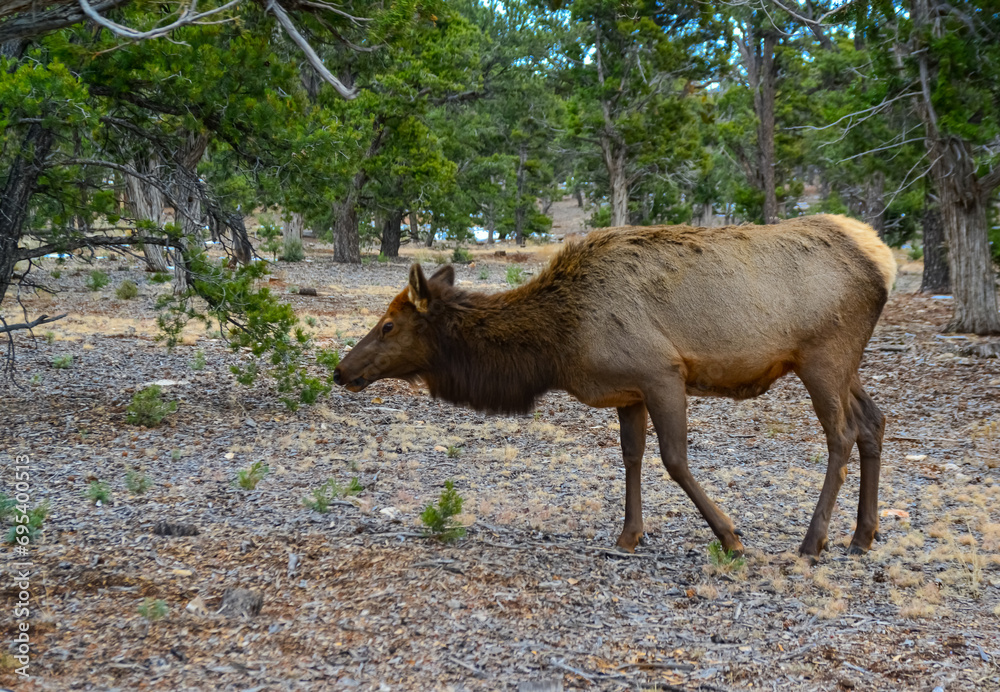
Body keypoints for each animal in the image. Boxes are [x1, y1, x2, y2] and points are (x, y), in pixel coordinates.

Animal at [333, 215, 897, 558]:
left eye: (388, 325)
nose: (340, 370)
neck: (556, 346)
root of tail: (882, 260)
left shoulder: (662, 372)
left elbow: (674, 460)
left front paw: (731, 536)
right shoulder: (629, 392)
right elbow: (631, 457)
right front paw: (629, 535)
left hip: (823, 355)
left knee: (841, 434)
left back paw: (814, 541)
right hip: (845, 364)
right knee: (874, 420)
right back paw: (863, 535)